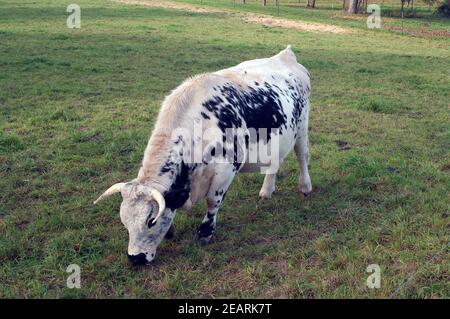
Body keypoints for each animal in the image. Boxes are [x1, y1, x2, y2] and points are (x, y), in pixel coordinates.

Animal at [94, 45, 312, 264]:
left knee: (302, 156)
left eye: (150, 221)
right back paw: (266, 192)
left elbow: (212, 202)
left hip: (301, 129)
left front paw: (205, 233)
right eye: (124, 220)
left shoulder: (225, 171)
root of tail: (285, 55)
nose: (135, 258)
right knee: (274, 164)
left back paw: (305, 187)